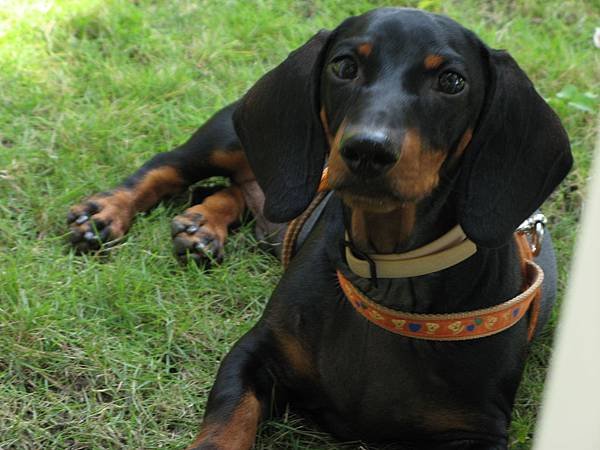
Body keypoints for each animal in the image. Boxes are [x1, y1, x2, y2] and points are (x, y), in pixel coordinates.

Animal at [65, 7, 572, 450]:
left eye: (452, 81)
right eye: (344, 65)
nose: (367, 150)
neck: (385, 278)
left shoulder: (478, 429)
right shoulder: (254, 353)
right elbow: (227, 423)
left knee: (234, 192)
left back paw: (201, 227)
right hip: (226, 139)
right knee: (168, 167)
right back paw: (103, 214)